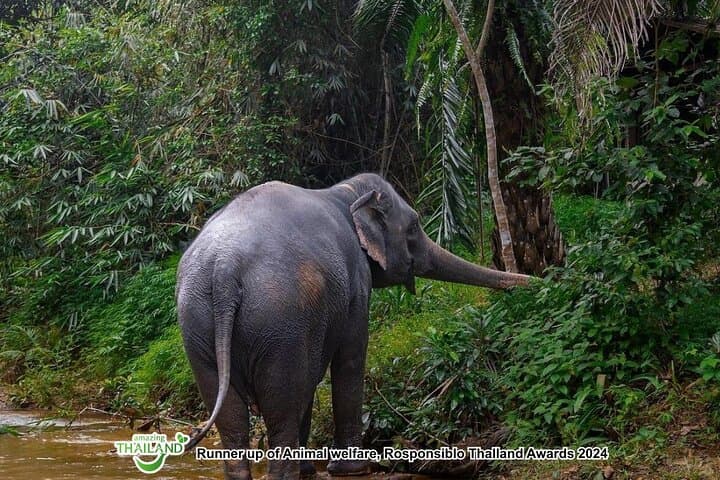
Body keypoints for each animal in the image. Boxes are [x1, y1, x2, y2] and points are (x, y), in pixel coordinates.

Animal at [176, 173, 529, 480]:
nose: (534, 281)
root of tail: (225, 268)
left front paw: (319, 470)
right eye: (414, 226)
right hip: (277, 322)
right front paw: (354, 470)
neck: (344, 191)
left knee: (232, 416)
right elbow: (350, 356)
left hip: (198, 327)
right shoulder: (357, 283)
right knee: (282, 405)